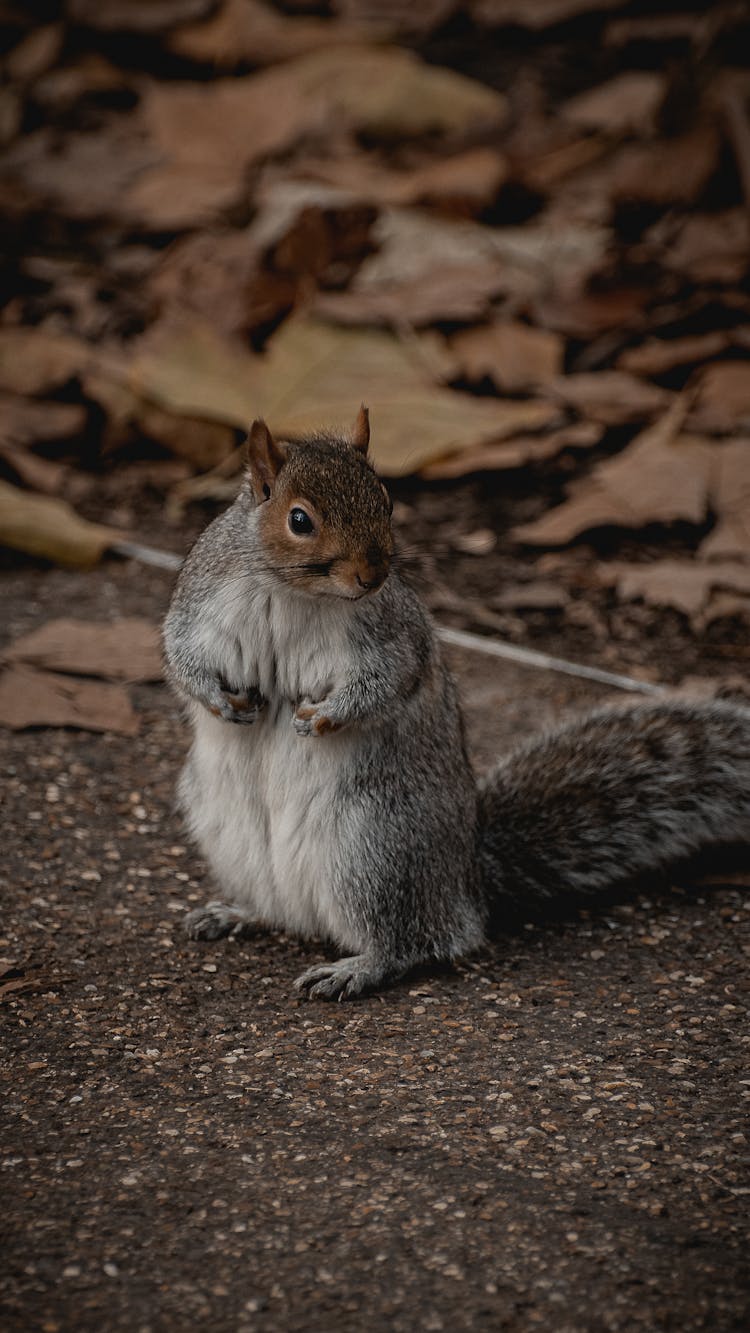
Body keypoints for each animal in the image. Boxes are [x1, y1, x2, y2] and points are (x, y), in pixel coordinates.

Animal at [164, 405, 750, 1002]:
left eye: (387, 500)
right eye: (299, 520)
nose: (372, 575)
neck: (296, 593)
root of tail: (467, 884)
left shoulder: (391, 637)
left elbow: (385, 683)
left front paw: (324, 718)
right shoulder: (202, 605)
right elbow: (182, 655)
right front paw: (219, 701)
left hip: (373, 850)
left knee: (412, 942)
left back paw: (355, 968)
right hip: (235, 837)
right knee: (290, 915)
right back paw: (237, 913)